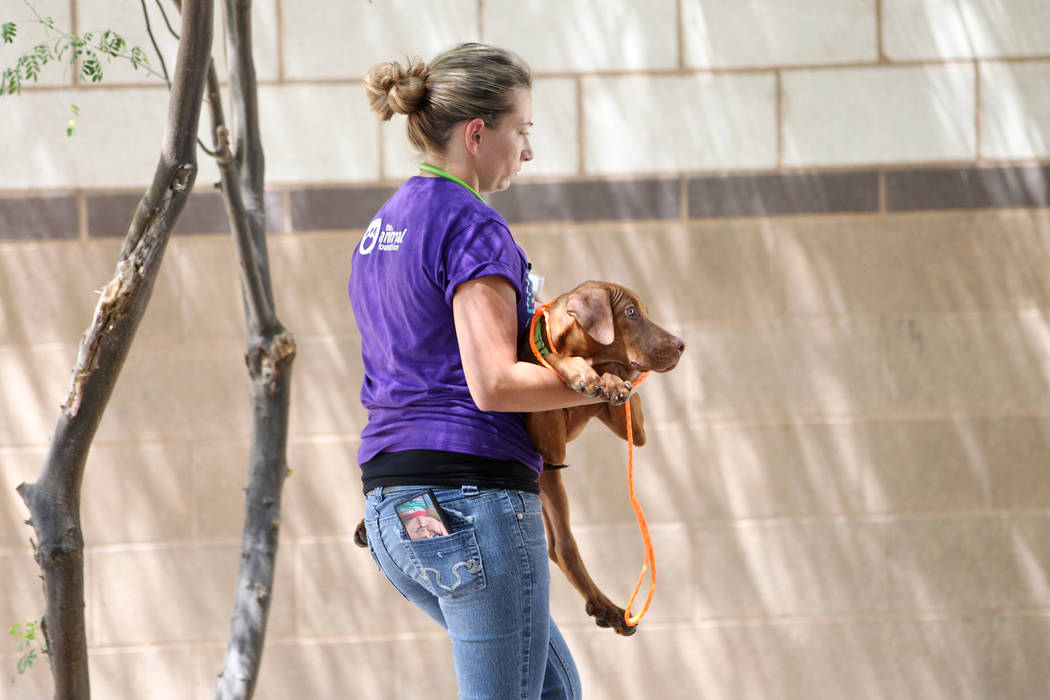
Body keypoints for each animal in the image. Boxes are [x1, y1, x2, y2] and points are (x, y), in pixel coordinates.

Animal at [352, 281, 680, 638]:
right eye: (631, 312)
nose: (681, 345)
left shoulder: (631, 428)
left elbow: (616, 374)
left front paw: (609, 379)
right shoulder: (547, 438)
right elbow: (555, 359)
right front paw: (580, 370)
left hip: (549, 478)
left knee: (561, 547)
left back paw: (608, 609)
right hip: (548, 474)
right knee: (563, 547)